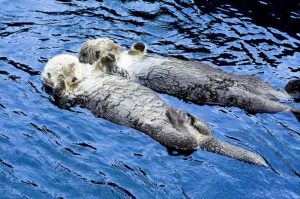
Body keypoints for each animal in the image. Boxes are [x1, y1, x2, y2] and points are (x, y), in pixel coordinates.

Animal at [41, 53, 268, 166]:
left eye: (73, 65)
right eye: (63, 71)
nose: (72, 78)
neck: (85, 79)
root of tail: (202, 138)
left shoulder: (99, 72)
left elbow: (103, 66)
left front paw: (107, 57)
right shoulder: (72, 96)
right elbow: (62, 96)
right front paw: (59, 83)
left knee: (203, 132)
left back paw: (192, 118)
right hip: (163, 133)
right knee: (187, 142)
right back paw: (179, 119)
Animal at [79, 38, 300, 118]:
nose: (114, 46)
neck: (123, 59)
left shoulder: (133, 56)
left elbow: (137, 51)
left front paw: (138, 45)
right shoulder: (124, 74)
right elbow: (115, 69)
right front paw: (107, 57)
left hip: (255, 83)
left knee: (276, 93)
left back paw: (293, 88)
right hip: (240, 97)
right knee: (272, 105)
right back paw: (294, 107)